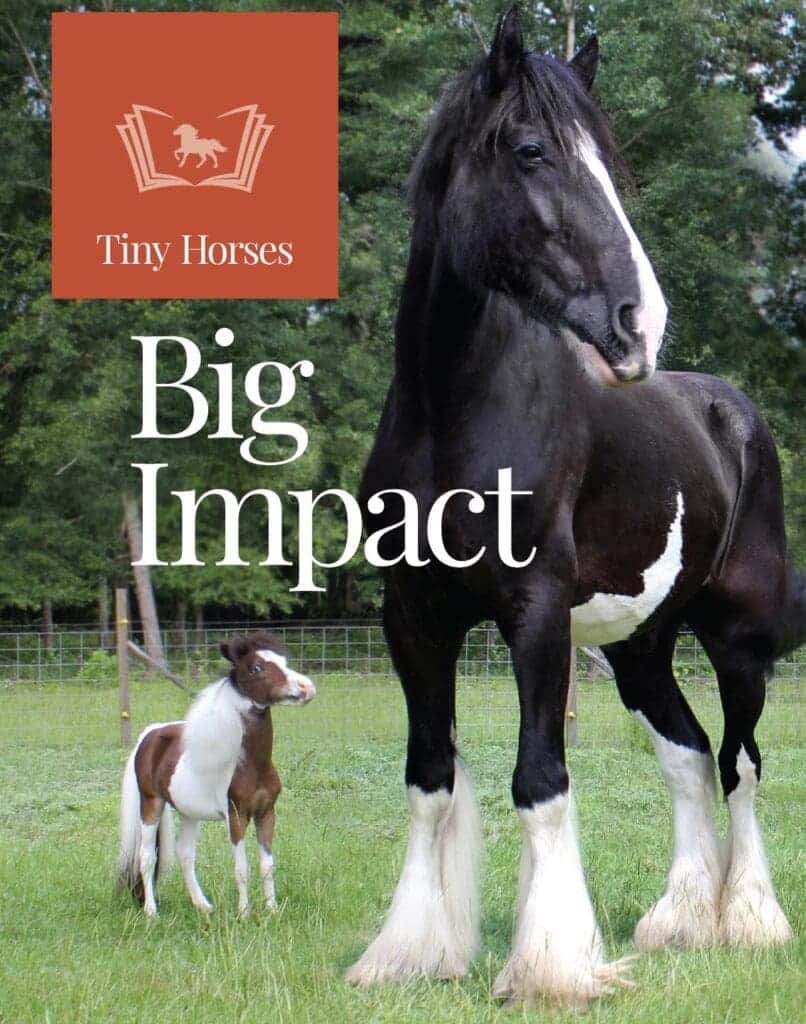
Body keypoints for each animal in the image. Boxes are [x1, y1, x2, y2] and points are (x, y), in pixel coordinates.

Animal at [118, 634, 317, 917]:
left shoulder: (266, 813)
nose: (306, 688)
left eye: (283, 661)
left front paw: (272, 910)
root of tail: (150, 734)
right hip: (150, 804)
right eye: (256, 668)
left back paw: (203, 906)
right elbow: (241, 868)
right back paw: (151, 912)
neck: (250, 766)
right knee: (146, 857)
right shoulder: (236, 817)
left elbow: (267, 865)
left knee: (185, 854)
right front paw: (244, 914)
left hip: (188, 812)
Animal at [350, 6, 802, 1007]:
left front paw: (552, 965)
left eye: (605, 159)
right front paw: (410, 952)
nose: (639, 323)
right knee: (687, 754)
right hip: (640, 646)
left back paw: (750, 920)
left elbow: (540, 777)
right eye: (530, 151)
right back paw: (679, 922)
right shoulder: (414, 615)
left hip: (737, 641)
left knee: (740, 762)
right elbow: (428, 774)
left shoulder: (535, 614)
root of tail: (731, 409)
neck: (453, 411)